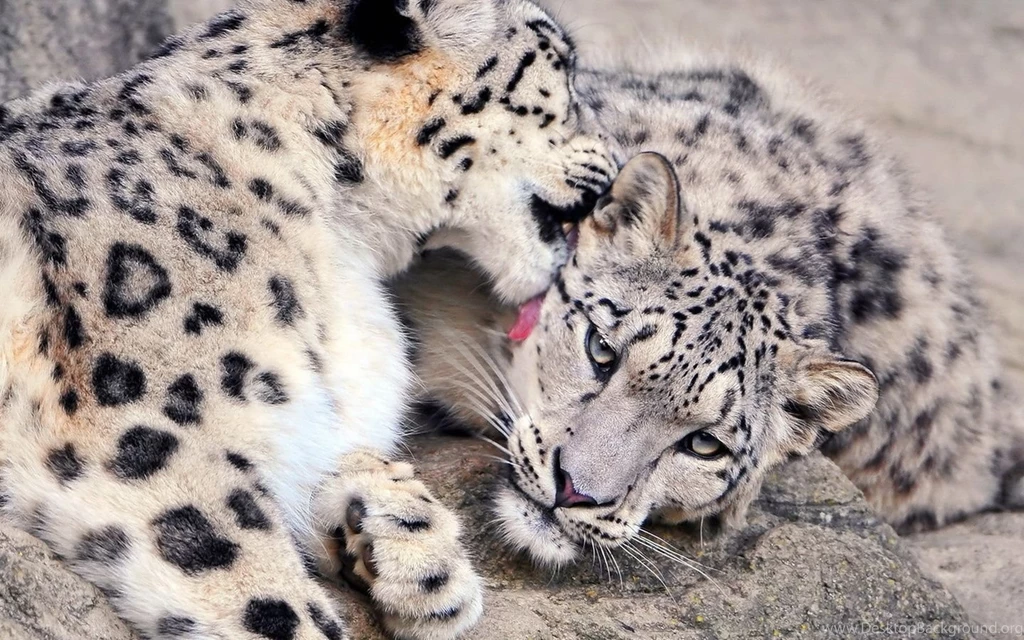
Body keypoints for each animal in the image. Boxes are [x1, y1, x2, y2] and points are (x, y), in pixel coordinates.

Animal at [0, 1, 617, 638]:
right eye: (562, 65)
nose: (619, 163)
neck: (344, 245)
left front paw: (419, 551)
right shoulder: (147, 437)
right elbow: (263, 590)